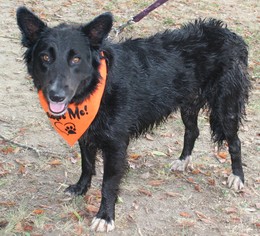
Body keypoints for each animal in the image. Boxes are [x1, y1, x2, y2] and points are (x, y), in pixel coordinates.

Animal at [15, 6, 250, 232]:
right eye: (45, 57)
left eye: (76, 59)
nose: (56, 95)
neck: (97, 87)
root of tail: (228, 33)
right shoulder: (86, 133)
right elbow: (87, 165)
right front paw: (81, 188)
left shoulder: (116, 144)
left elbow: (109, 183)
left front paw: (105, 216)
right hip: (188, 103)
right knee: (192, 131)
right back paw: (183, 160)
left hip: (225, 106)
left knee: (235, 142)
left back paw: (238, 177)